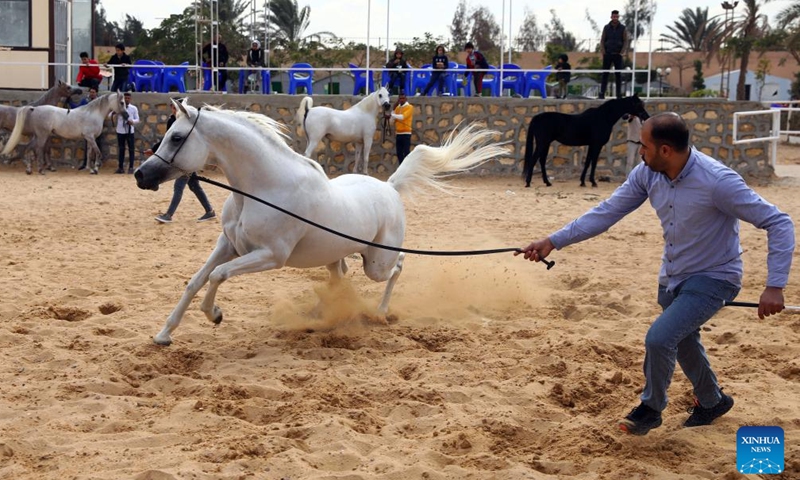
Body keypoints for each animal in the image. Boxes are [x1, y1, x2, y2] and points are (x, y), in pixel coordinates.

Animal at [134, 99, 507, 346]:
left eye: (177, 137)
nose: (141, 175)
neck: (262, 188)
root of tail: (389, 187)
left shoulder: (270, 256)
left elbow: (217, 275)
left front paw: (215, 314)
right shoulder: (228, 245)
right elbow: (196, 281)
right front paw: (163, 335)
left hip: (377, 262)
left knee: (398, 265)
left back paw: (380, 311)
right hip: (335, 256)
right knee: (342, 276)